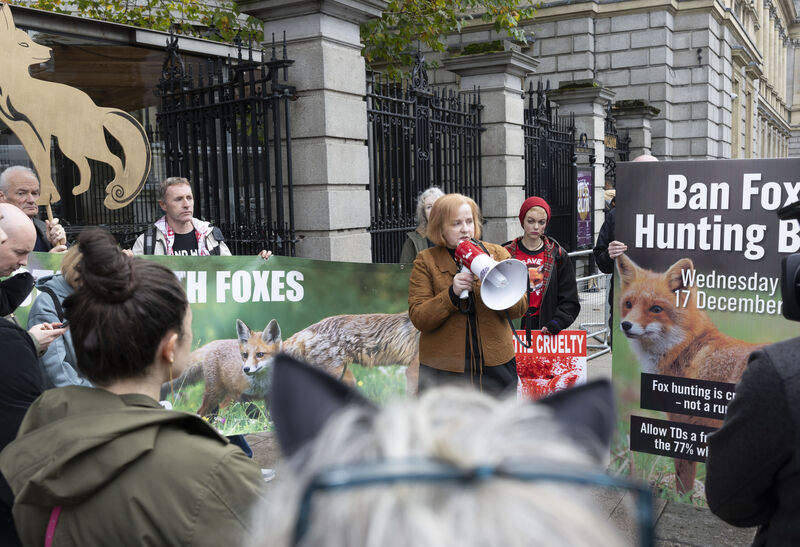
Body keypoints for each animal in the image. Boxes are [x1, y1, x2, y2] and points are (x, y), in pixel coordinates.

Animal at [0, 4, 150, 209]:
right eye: (24, 44)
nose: (50, 51)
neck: (16, 87)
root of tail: (97, 110)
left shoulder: (40, 130)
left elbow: (44, 163)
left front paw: (46, 198)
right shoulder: (24, 131)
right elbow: (40, 164)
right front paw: (48, 198)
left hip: (86, 144)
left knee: (116, 159)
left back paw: (115, 188)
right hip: (71, 145)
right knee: (86, 166)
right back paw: (80, 189)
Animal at [617, 254, 765, 494]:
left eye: (656, 309)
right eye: (628, 304)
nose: (626, 325)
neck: (686, 346)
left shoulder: (684, 422)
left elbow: (683, 475)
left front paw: (681, 498)